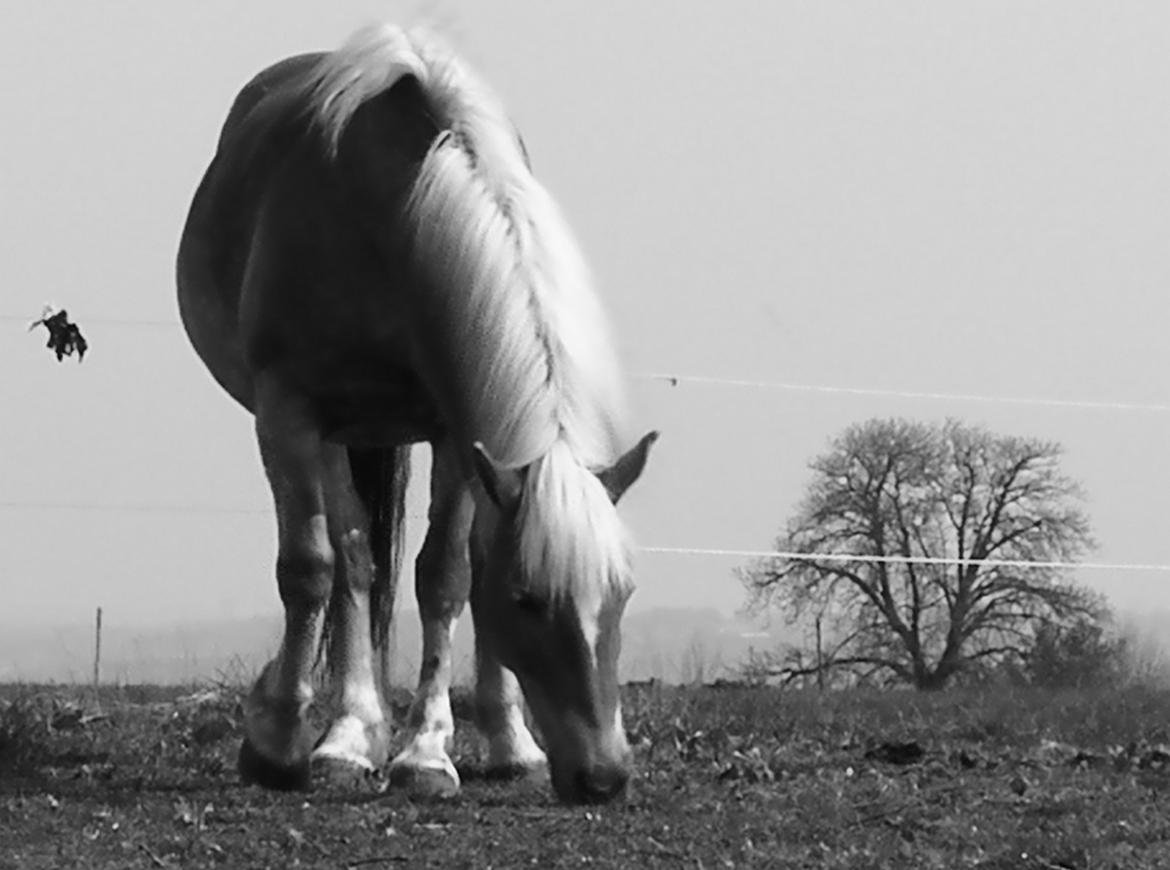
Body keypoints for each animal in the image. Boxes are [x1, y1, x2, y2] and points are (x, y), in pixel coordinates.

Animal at [173, 22, 655, 809]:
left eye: (622, 593)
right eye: (527, 600)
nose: (604, 776)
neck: (386, 217)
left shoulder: (459, 432)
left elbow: (447, 576)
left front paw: (431, 753)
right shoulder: (293, 413)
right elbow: (317, 566)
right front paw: (290, 741)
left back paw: (506, 740)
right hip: (334, 433)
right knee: (349, 564)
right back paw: (342, 729)